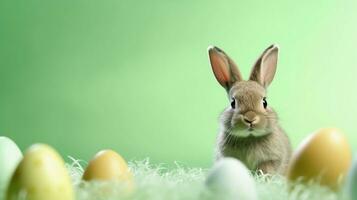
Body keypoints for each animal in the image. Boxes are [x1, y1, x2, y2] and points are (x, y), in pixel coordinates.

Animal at [207, 44, 290, 175]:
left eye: (264, 102)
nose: (250, 118)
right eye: (233, 103)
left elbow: (265, 169)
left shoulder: (271, 160)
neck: (250, 137)